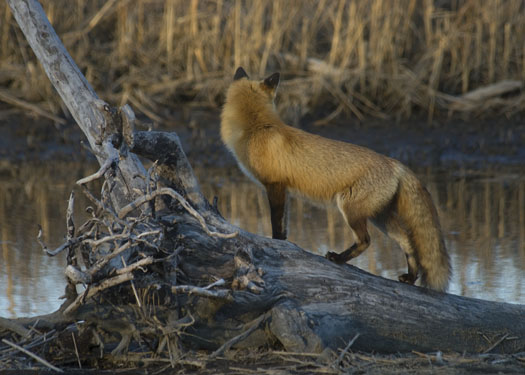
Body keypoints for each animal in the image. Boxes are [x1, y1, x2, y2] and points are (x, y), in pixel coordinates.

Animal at [221, 66, 450, 292]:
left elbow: (276, 222)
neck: (257, 127)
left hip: (350, 209)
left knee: (366, 241)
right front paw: (284, 243)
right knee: (407, 241)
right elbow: (285, 224)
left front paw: (276, 243)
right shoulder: (284, 189)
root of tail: (394, 163)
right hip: (380, 217)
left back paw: (339, 258)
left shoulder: (274, 185)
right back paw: (410, 277)